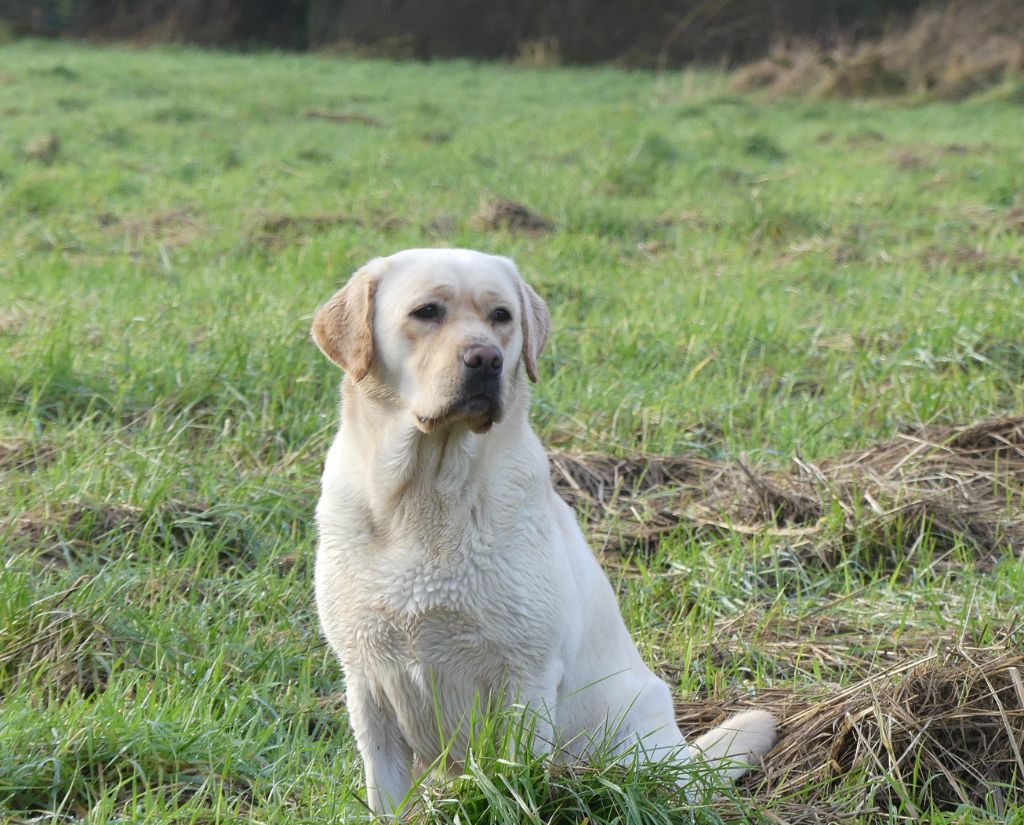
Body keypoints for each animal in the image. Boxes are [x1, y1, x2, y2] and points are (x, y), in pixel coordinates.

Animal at [311, 248, 774, 818]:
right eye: (426, 312)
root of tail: (685, 760)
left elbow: (514, 785)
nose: (486, 359)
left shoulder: (524, 677)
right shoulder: (368, 682)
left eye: (502, 317)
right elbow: (387, 796)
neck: (429, 492)